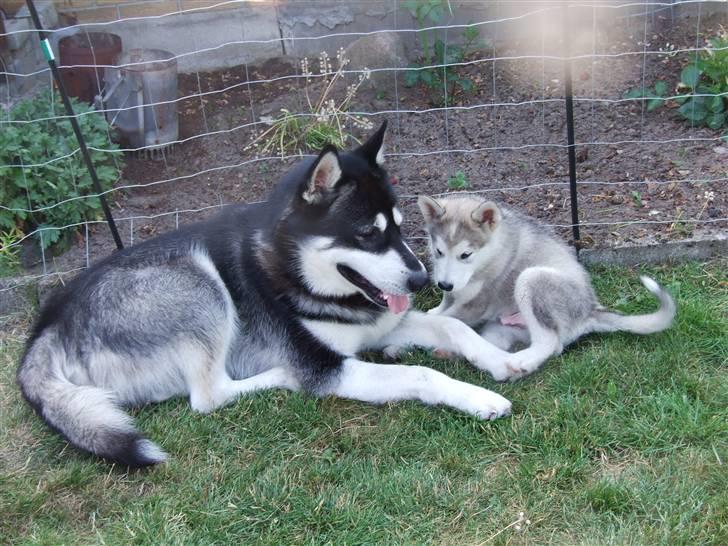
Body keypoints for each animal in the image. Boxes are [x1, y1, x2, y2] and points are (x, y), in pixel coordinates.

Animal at [17, 123, 513, 467]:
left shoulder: (383, 324)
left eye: (400, 226)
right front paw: (479, 398)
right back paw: (277, 378)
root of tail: (48, 326)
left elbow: (451, 325)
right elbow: (420, 374)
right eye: (368, 234)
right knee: (209, 396)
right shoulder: (327, 368)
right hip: (198, 285)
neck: (298, 276)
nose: (422, 281)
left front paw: (502, 361)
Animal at [417, 194, 676, 381]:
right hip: (502, 328)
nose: (444, 283)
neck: (489, 254)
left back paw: (523, 361)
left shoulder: (477, 303)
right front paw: (435, 310)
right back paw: (450, 352)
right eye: (438, 251)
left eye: (465, 255)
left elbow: (449, 316)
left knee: (551, 344)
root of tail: (590, 310)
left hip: (531, 279)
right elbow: (445, 306)